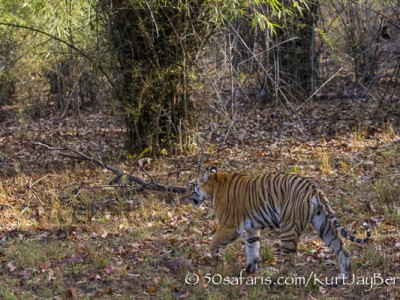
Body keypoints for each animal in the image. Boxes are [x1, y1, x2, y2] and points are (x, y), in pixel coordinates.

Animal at [189, 166, 370, 278]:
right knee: (342, 251)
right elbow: (252, 248)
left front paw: (219, 260)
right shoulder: (251, 229)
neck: (213, 186)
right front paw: (249, 270)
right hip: (323, 225)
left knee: (290, 262)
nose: (186, 194)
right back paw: (342, 278)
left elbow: (213, 244)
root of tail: (313, 187)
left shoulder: (229, 226)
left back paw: (277, 278)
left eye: (191, 185)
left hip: (288, 227)